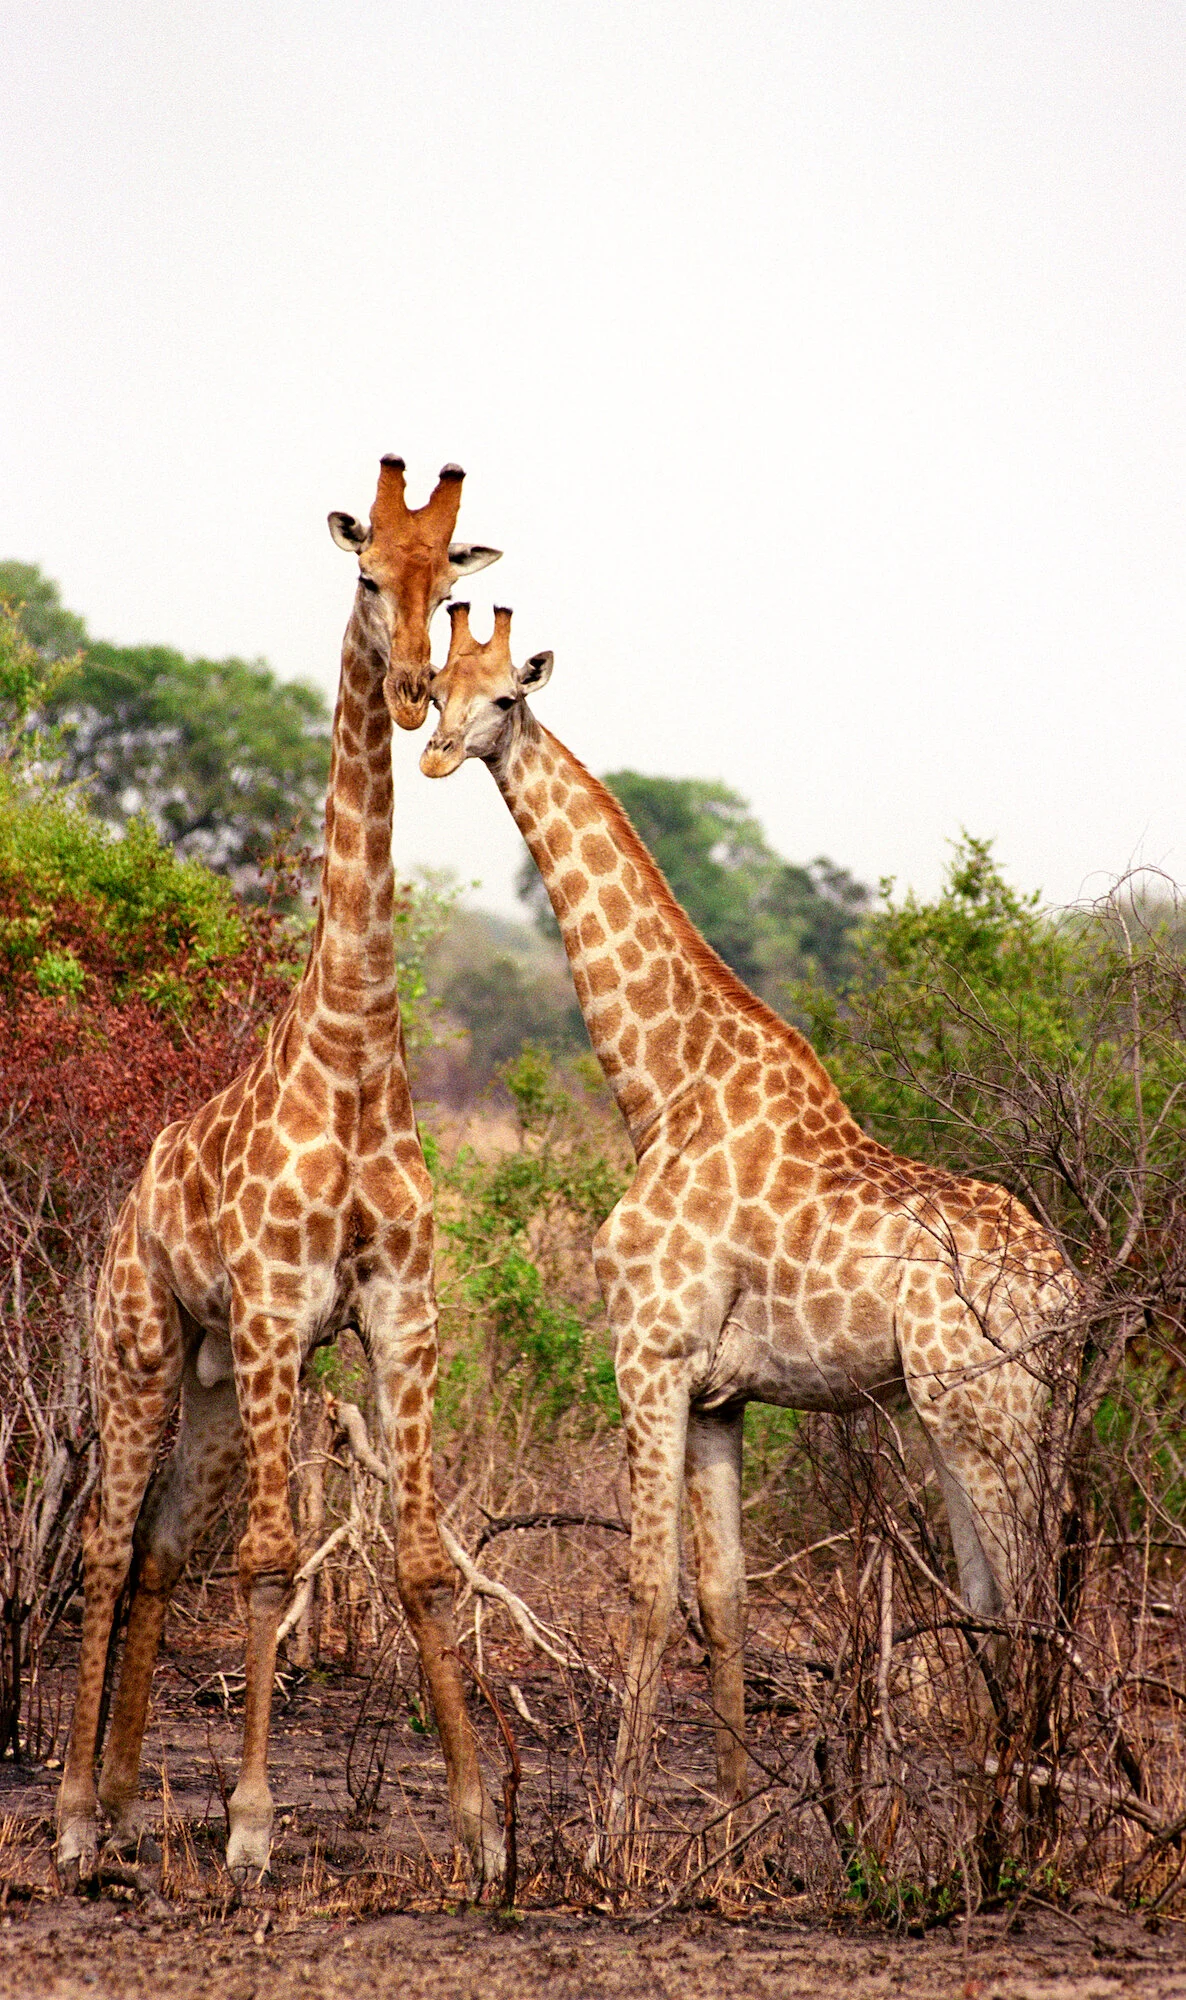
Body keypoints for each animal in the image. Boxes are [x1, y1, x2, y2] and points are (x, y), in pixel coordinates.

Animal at [56, 458, 505, 1887]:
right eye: (366, 572)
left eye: (450, 580)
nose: (414, 684)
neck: (355, 1048)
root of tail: (128, 1198)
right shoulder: (269, 1311)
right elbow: (267, 1562)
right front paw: (252, 1827)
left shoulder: (402, 1315)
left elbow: (424, 1564)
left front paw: (482, 1830)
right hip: (143, 1348)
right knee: (103, 1549)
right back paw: (73, 1817)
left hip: (205, 1382)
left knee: (154, 1556)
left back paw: (127, 1800)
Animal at [419, 603, 1075, 1825]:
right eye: (435, 685)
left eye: (507, 697)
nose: (435, 755)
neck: (659, 1086)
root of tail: (1066, 1288)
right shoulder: (722, 1392)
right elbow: (721, 1595)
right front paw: (730, 1819)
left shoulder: (647, 1352)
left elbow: (644, 1585)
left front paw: (615, 1830)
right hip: (971, 1412)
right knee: (993, 1594)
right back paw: (1002, 1803)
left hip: (988, 1407)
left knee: (1029, 1596)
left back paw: (1033, 1815)